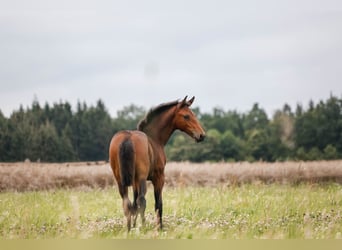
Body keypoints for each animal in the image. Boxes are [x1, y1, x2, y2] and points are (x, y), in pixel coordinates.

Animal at [109, 96, 206, 230]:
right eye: (186, 116)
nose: (201, 135)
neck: (154, 139)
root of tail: (127, 138)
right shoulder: (159, 178)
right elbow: (158, 203)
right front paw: (159, 227)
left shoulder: (134, 182)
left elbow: (134, 202)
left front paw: (134, 225)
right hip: (142, 177)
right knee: (141, 201)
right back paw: (144, 227)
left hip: (120, 180)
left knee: (127, 202)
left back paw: (129, 229)